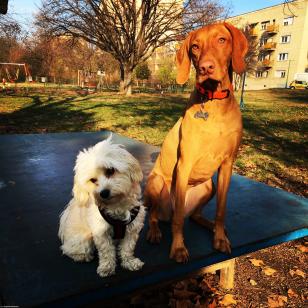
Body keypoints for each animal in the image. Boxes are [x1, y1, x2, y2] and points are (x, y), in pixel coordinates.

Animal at [58, 136, 146, 278]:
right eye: (92, 180)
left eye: (110, 170)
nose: (103, 193)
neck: (117, 205)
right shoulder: (101, 232)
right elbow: (106, 252)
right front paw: (107, 267)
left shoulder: (132, 229)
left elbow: (127, 248)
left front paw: (129, 262)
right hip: (83, 240)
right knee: (68, 249)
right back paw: (82, 256)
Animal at [144, 22, 248, 262]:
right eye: (195, 47)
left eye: (222, 40)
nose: (205, 68)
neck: (214, 103)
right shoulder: (184, 164)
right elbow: (178, 220)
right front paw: (178, 248)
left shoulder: (227, 164)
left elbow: (221, 210)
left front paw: (220, 238)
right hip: (156, 183)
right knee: (156, 214)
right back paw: (154, 231)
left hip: (209, 186)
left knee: (193, 216)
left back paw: (211, 225)